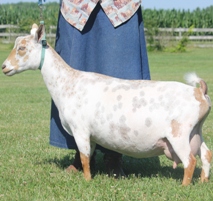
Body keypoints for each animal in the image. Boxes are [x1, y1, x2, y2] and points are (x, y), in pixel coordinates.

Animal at [1, 23, 211, 185]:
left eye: (22, 48)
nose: (4, 67)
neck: (69, 82)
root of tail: (199, 92)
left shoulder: (80, 129)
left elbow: (85, 156)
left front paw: (87, 181)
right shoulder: (91, 135)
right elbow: (88, 155)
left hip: (179, 134)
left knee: (190, 160)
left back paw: (184, 187)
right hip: (196, 131)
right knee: (206, 154)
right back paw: (203, 182)